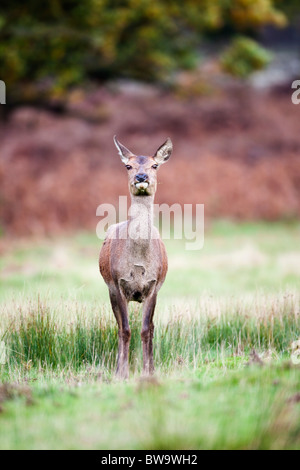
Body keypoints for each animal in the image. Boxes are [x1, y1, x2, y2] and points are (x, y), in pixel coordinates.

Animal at [99, 136, 172, 378]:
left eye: (155, 165)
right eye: (128, 166)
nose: (141, 177)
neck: (139, 264)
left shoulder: (153, 286)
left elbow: (146, 329)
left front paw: (148, 371)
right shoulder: (118, 283)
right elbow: (126, 329)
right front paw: (122, 373)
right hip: (110, 289)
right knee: (119, 326)